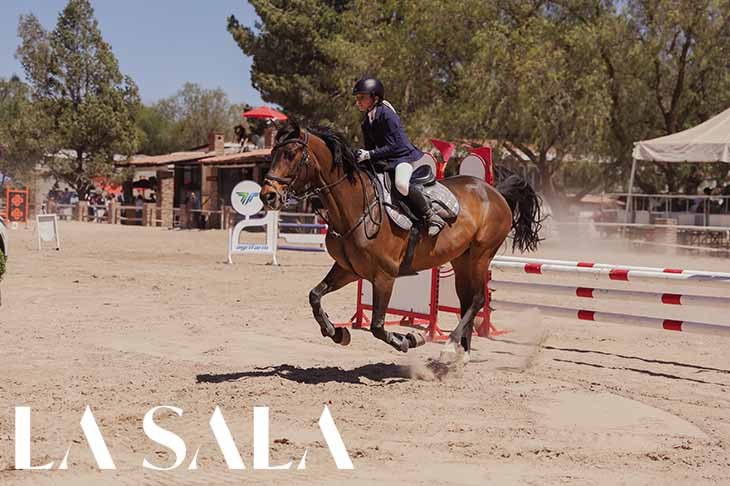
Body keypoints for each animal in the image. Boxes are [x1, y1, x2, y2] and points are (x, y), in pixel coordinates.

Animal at [260, 120, 542, 360]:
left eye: (290, 154)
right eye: (273, 154)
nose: (268, 196)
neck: (355, 208)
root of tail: (494, 192)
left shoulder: (384, 276)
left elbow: (377, 326)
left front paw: (410, 339)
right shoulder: (348, 269)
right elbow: (315, 296)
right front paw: (336, 332)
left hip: (480, 256)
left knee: (477, 300)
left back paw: (450, 346)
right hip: (462, 259)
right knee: (466, 301)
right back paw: (459, 355)